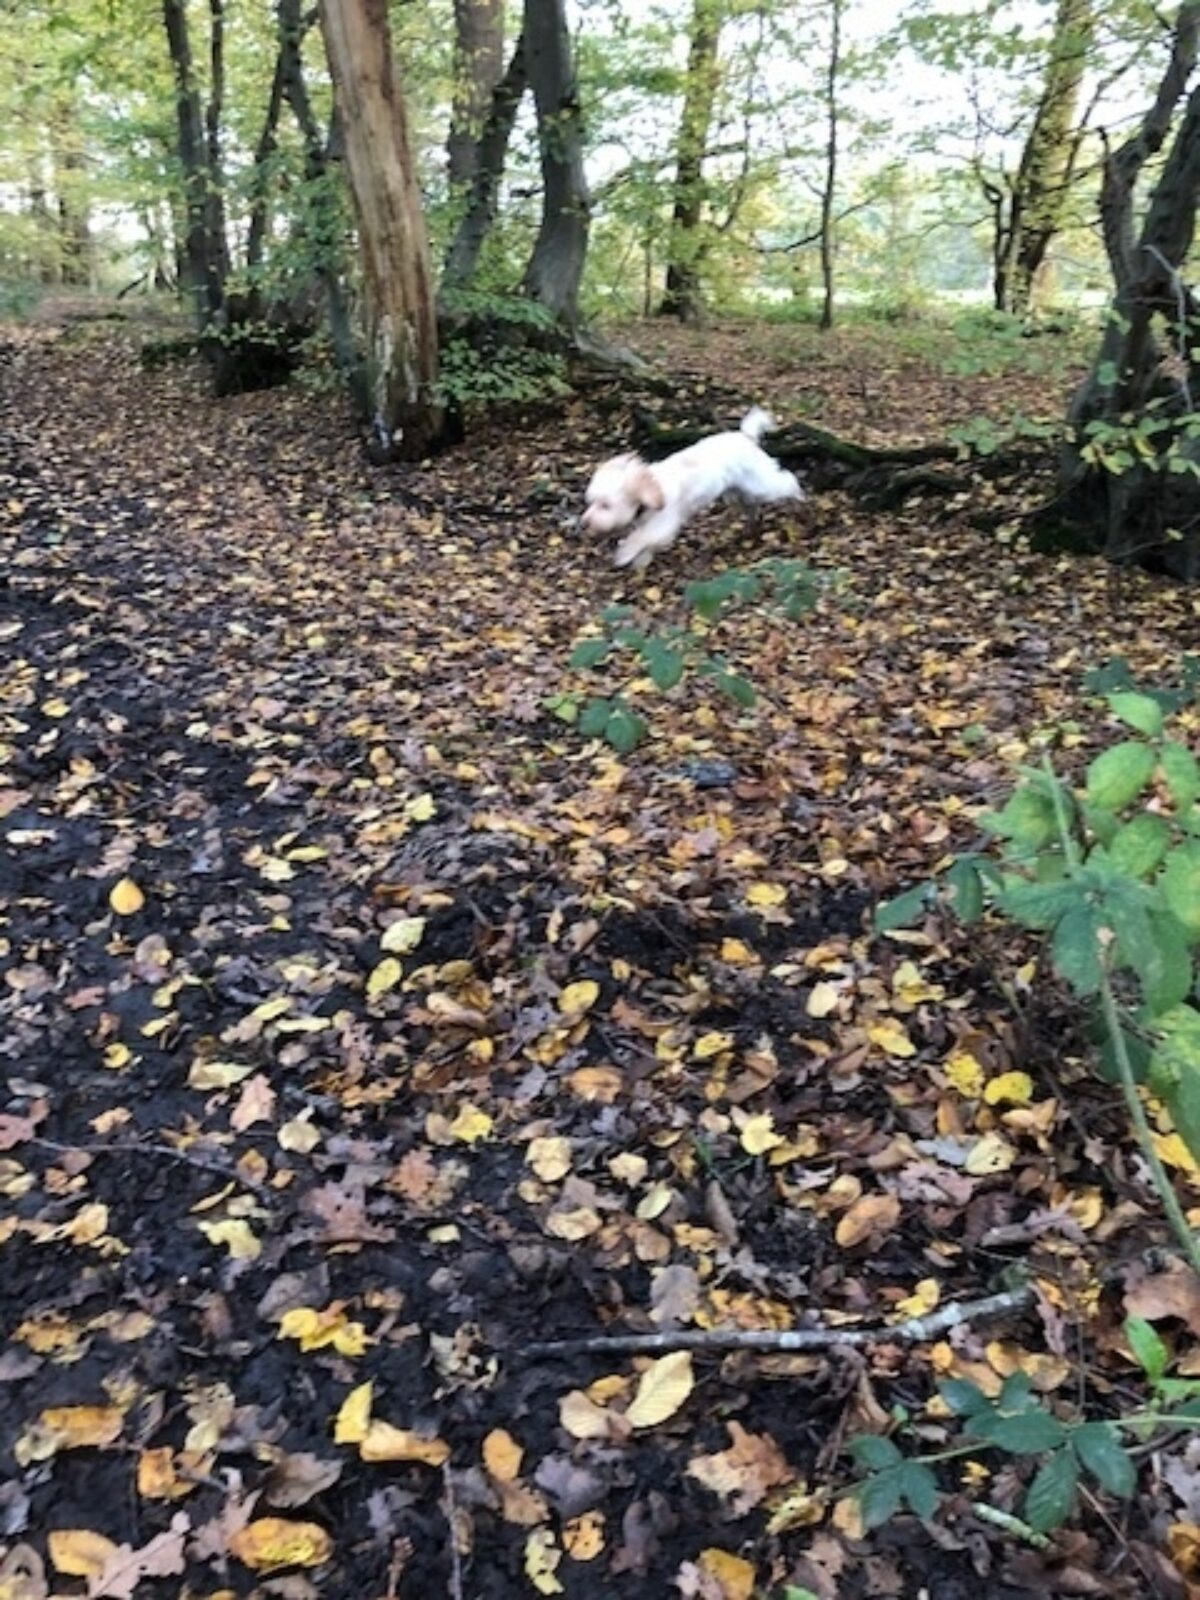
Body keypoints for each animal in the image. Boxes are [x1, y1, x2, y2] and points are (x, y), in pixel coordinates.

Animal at [582, 409, 809, 572]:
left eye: (605, 505)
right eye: (590, 502)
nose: (584, 523)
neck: (651, 490)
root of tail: (746, 437)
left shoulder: (663, 522)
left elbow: (641, 538)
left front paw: (624, 555)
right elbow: (645, 542)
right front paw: (640, 561)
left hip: (759, 483)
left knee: (786, 481)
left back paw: (799, 499)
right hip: (737, 493)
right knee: (751, 506)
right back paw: (751, 526)